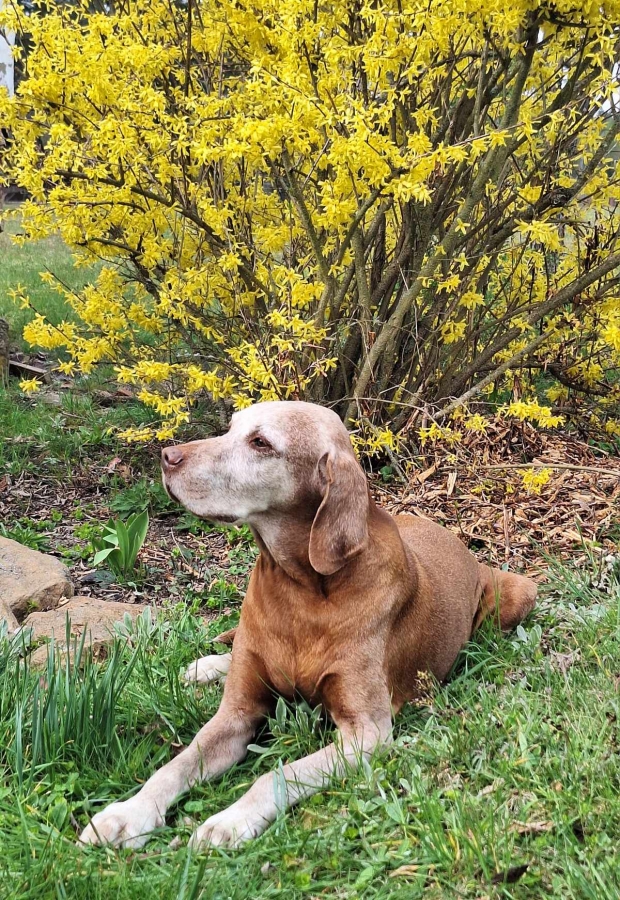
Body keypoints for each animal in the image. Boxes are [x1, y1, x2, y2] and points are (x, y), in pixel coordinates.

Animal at [79, 400, 537, 849]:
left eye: (261, 443)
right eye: (231, 427)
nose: (168, 456)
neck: (300, 591)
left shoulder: (366, 734)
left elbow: (276, 775)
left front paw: (229, 821)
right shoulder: (236, 713)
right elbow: (177, 763)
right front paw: (128, 814)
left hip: (519, 593)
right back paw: (205, 666)